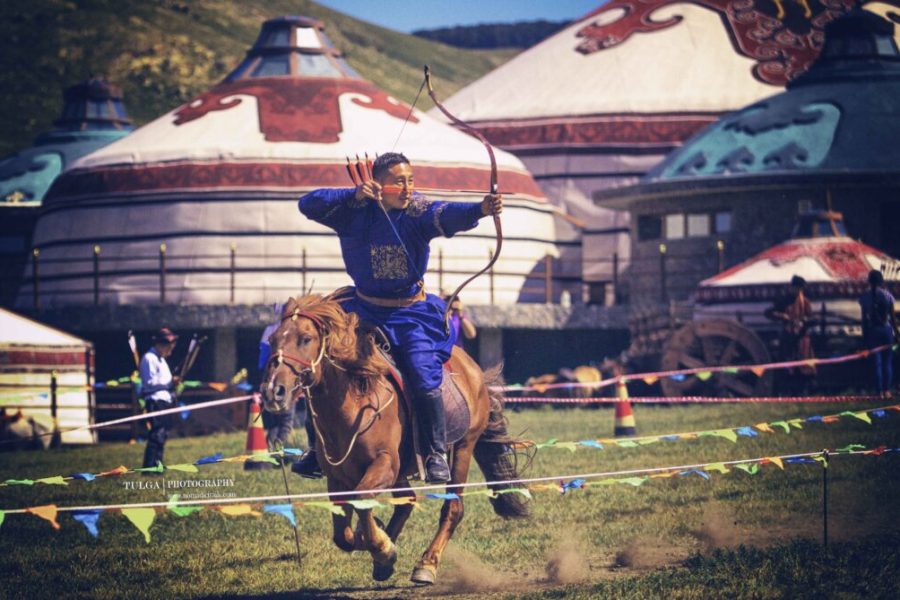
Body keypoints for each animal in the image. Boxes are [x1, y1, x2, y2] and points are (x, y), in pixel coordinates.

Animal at [260, 292, 528, 584]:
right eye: (273, 340)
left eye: (305, 339)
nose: (273, 391)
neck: (355, 402)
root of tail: (473, 369)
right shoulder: (337, 477)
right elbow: (343, 534)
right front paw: (377, 541)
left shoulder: (385, 463)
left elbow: (361, 499)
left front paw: (383, 547)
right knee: (407, 501)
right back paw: (384, 560)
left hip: (463, 448)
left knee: (452, 509)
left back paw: (426, 563)